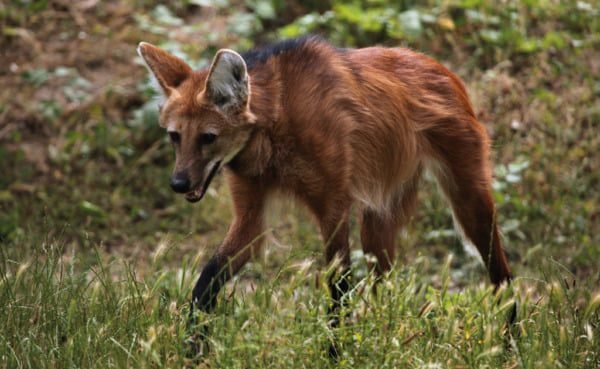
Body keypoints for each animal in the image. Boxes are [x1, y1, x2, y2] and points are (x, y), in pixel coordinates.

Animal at [138, 35, 512, 348]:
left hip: (469, 199)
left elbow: (338, 289)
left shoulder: (332, 205)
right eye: (175, 136)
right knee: (383, 284)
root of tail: (442, 68)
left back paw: (508, 343)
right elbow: (208, 279)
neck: (275, 122)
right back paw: (381, 338)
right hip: (378, 217)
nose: (178, 184)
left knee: (502, 275)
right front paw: (192, 347)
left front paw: (336, 352)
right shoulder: (251, 211)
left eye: (208, 137)